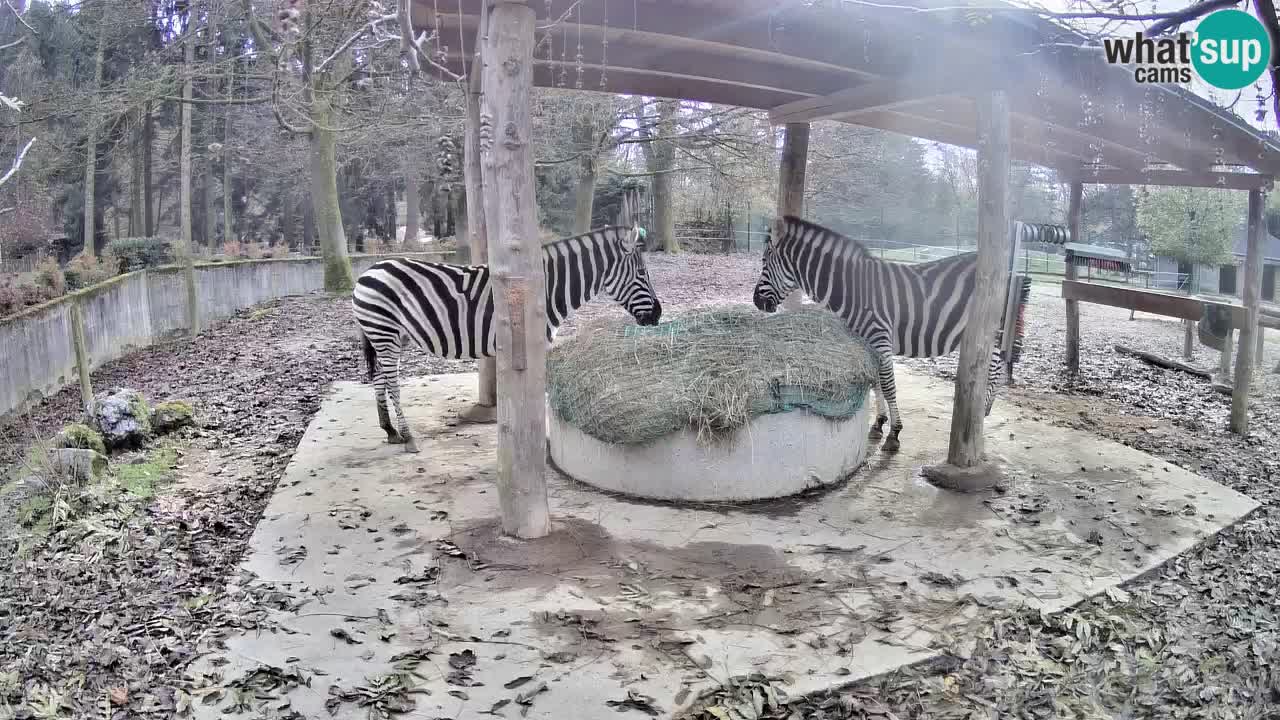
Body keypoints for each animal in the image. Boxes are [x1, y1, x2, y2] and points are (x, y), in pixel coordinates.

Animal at [355, 225, 665, 448]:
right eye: (642, 272)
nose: (658, 314)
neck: (546, 290)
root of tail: (368, 270)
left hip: (389, 336)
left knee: (380, 379)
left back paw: (390, 431)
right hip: (384, 331)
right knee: (392, 383)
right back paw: (408, 437)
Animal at [747, 213, 1008, 448]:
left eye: (763, 261)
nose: (756, 301)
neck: (852, 288)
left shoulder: (880, 338)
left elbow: (889, 385)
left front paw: (894, 432)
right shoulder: (867, 342)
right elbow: (876, 383)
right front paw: (879, 423)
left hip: (994, 332)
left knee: (995, 372)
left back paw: (980, 415)